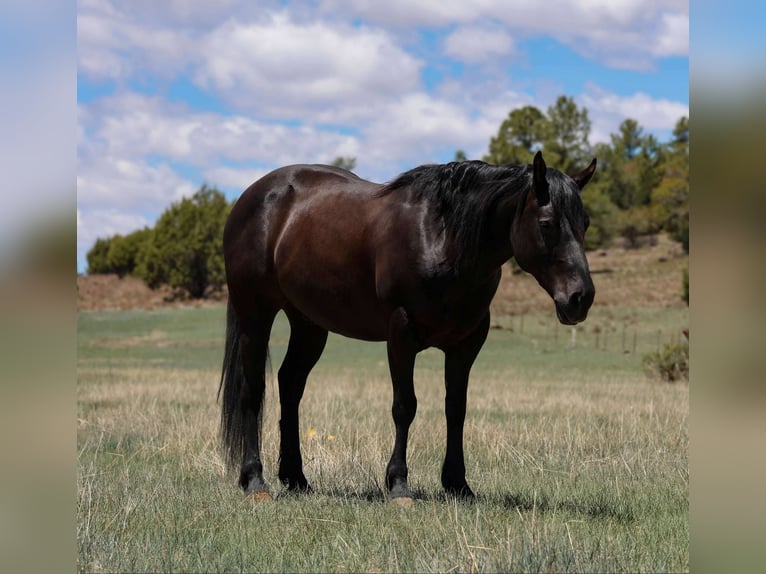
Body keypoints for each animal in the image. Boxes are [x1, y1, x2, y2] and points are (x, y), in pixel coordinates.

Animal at [219, 151, 596, 504]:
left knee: (290, 385)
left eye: (586, 223)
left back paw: (296, 478)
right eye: (546, 223)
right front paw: (399, 485)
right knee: (253, 391)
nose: (581, 298)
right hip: (255, 317)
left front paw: (458, 484)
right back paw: (255, 481)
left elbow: (456, 408)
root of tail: (253, 196)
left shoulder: (466, 343)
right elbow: (405, 406)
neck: (443, 240)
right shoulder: (401, 334)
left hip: (309, 324)